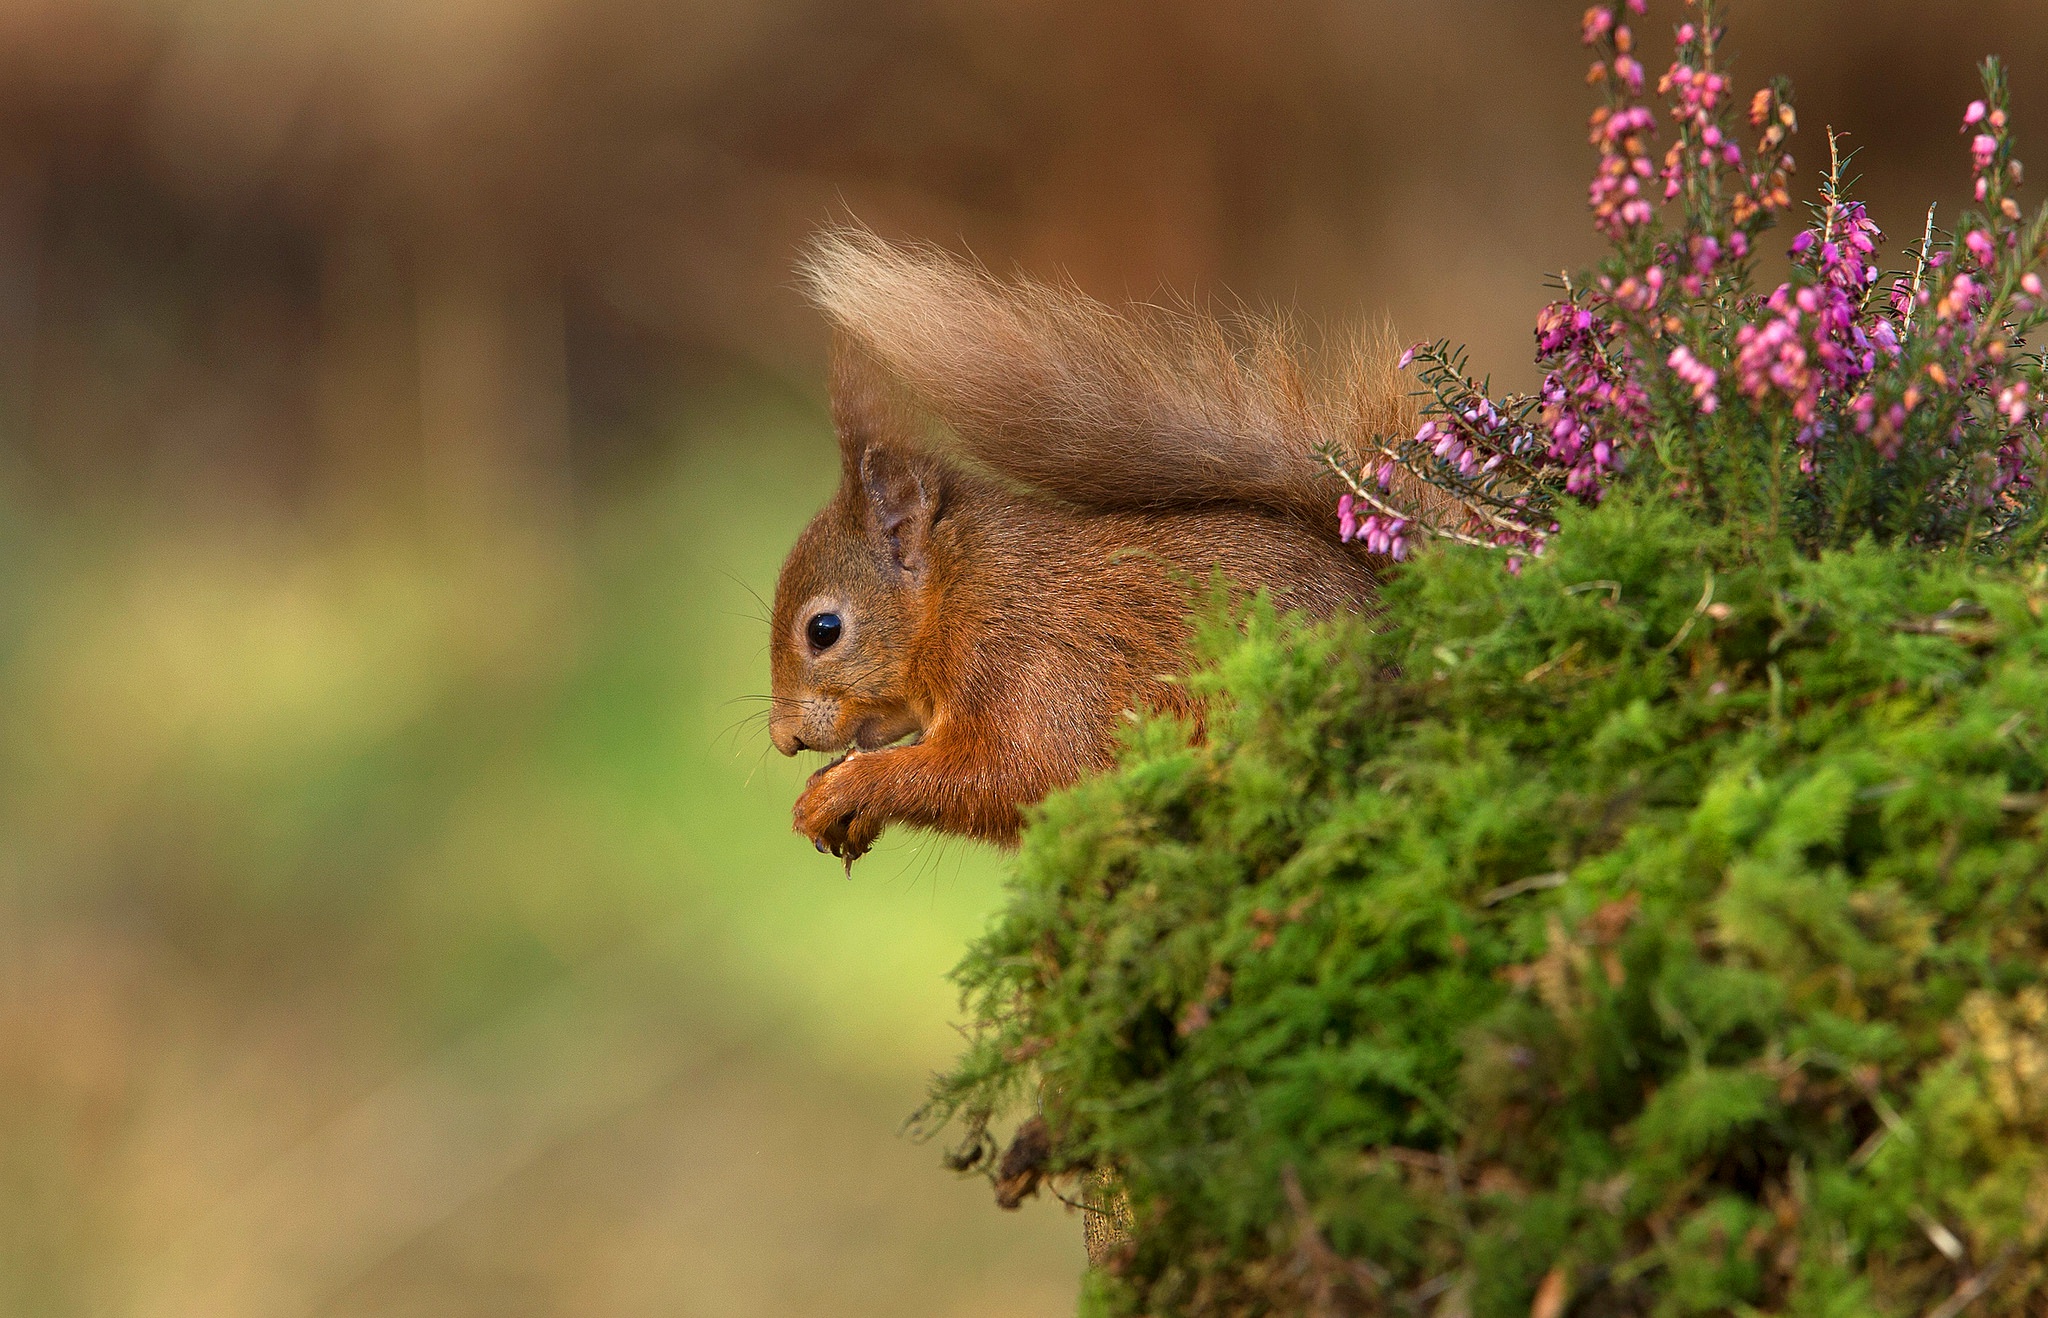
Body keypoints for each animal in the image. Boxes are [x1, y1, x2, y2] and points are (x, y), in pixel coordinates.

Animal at [770, 229, 1425, 863]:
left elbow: (1014, 775)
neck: (965, 590)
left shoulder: (1030, 668)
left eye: (823, 630)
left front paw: (844, 790)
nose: (783, 740)